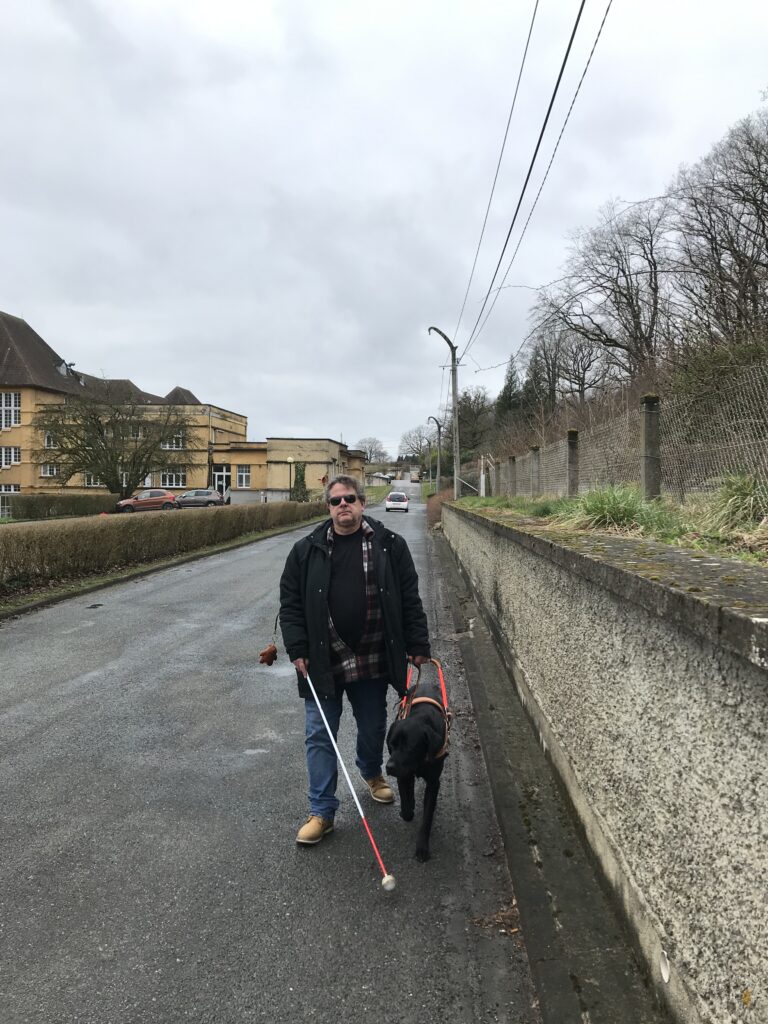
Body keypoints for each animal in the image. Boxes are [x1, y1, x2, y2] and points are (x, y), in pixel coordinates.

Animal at [385, 659, 450, 860]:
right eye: (391, 745)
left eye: (410, 746)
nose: (389, 766)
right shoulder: (402, 774)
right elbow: (406, 806)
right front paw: (408, 809)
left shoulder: (434, 782)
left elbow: (427, 816)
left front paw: (422, 847)